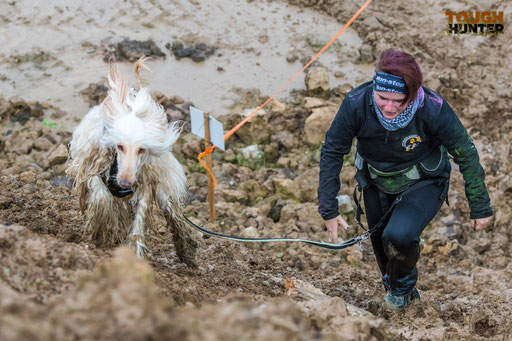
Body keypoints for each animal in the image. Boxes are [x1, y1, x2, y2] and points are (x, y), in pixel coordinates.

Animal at [66, 57, 198, 266]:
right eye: (119, 146)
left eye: (141, 149)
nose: (125, 182)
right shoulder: (90, 170)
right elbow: (101, 197)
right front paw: (100, 231)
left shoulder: (145, 182)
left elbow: (139, 217)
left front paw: (134, 249)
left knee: (171, 213)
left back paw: (186, 248)